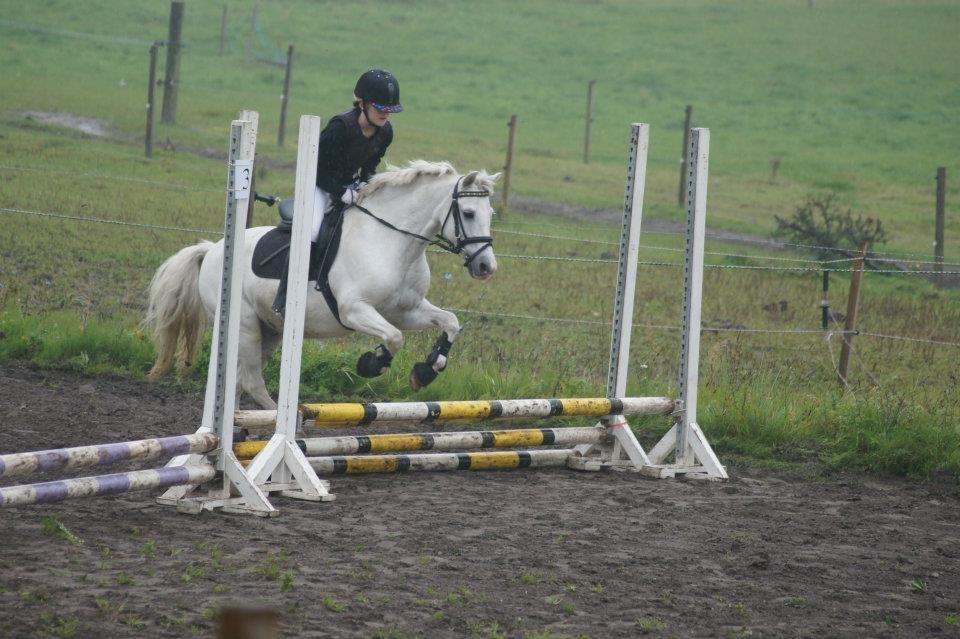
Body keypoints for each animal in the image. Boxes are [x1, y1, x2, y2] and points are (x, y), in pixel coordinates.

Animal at [146, 160, 502, 410]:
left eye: (490, 213)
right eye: (468, 213)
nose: (486, 267)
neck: (392, 241)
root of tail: (211, 250)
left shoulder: (406, 310)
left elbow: (449, 322)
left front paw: (426, 371)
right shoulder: (354, 310)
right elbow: (394, 338)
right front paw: (372, 363)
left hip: (270, 329)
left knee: (238, 381)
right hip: (245, 325)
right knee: (251, 381)